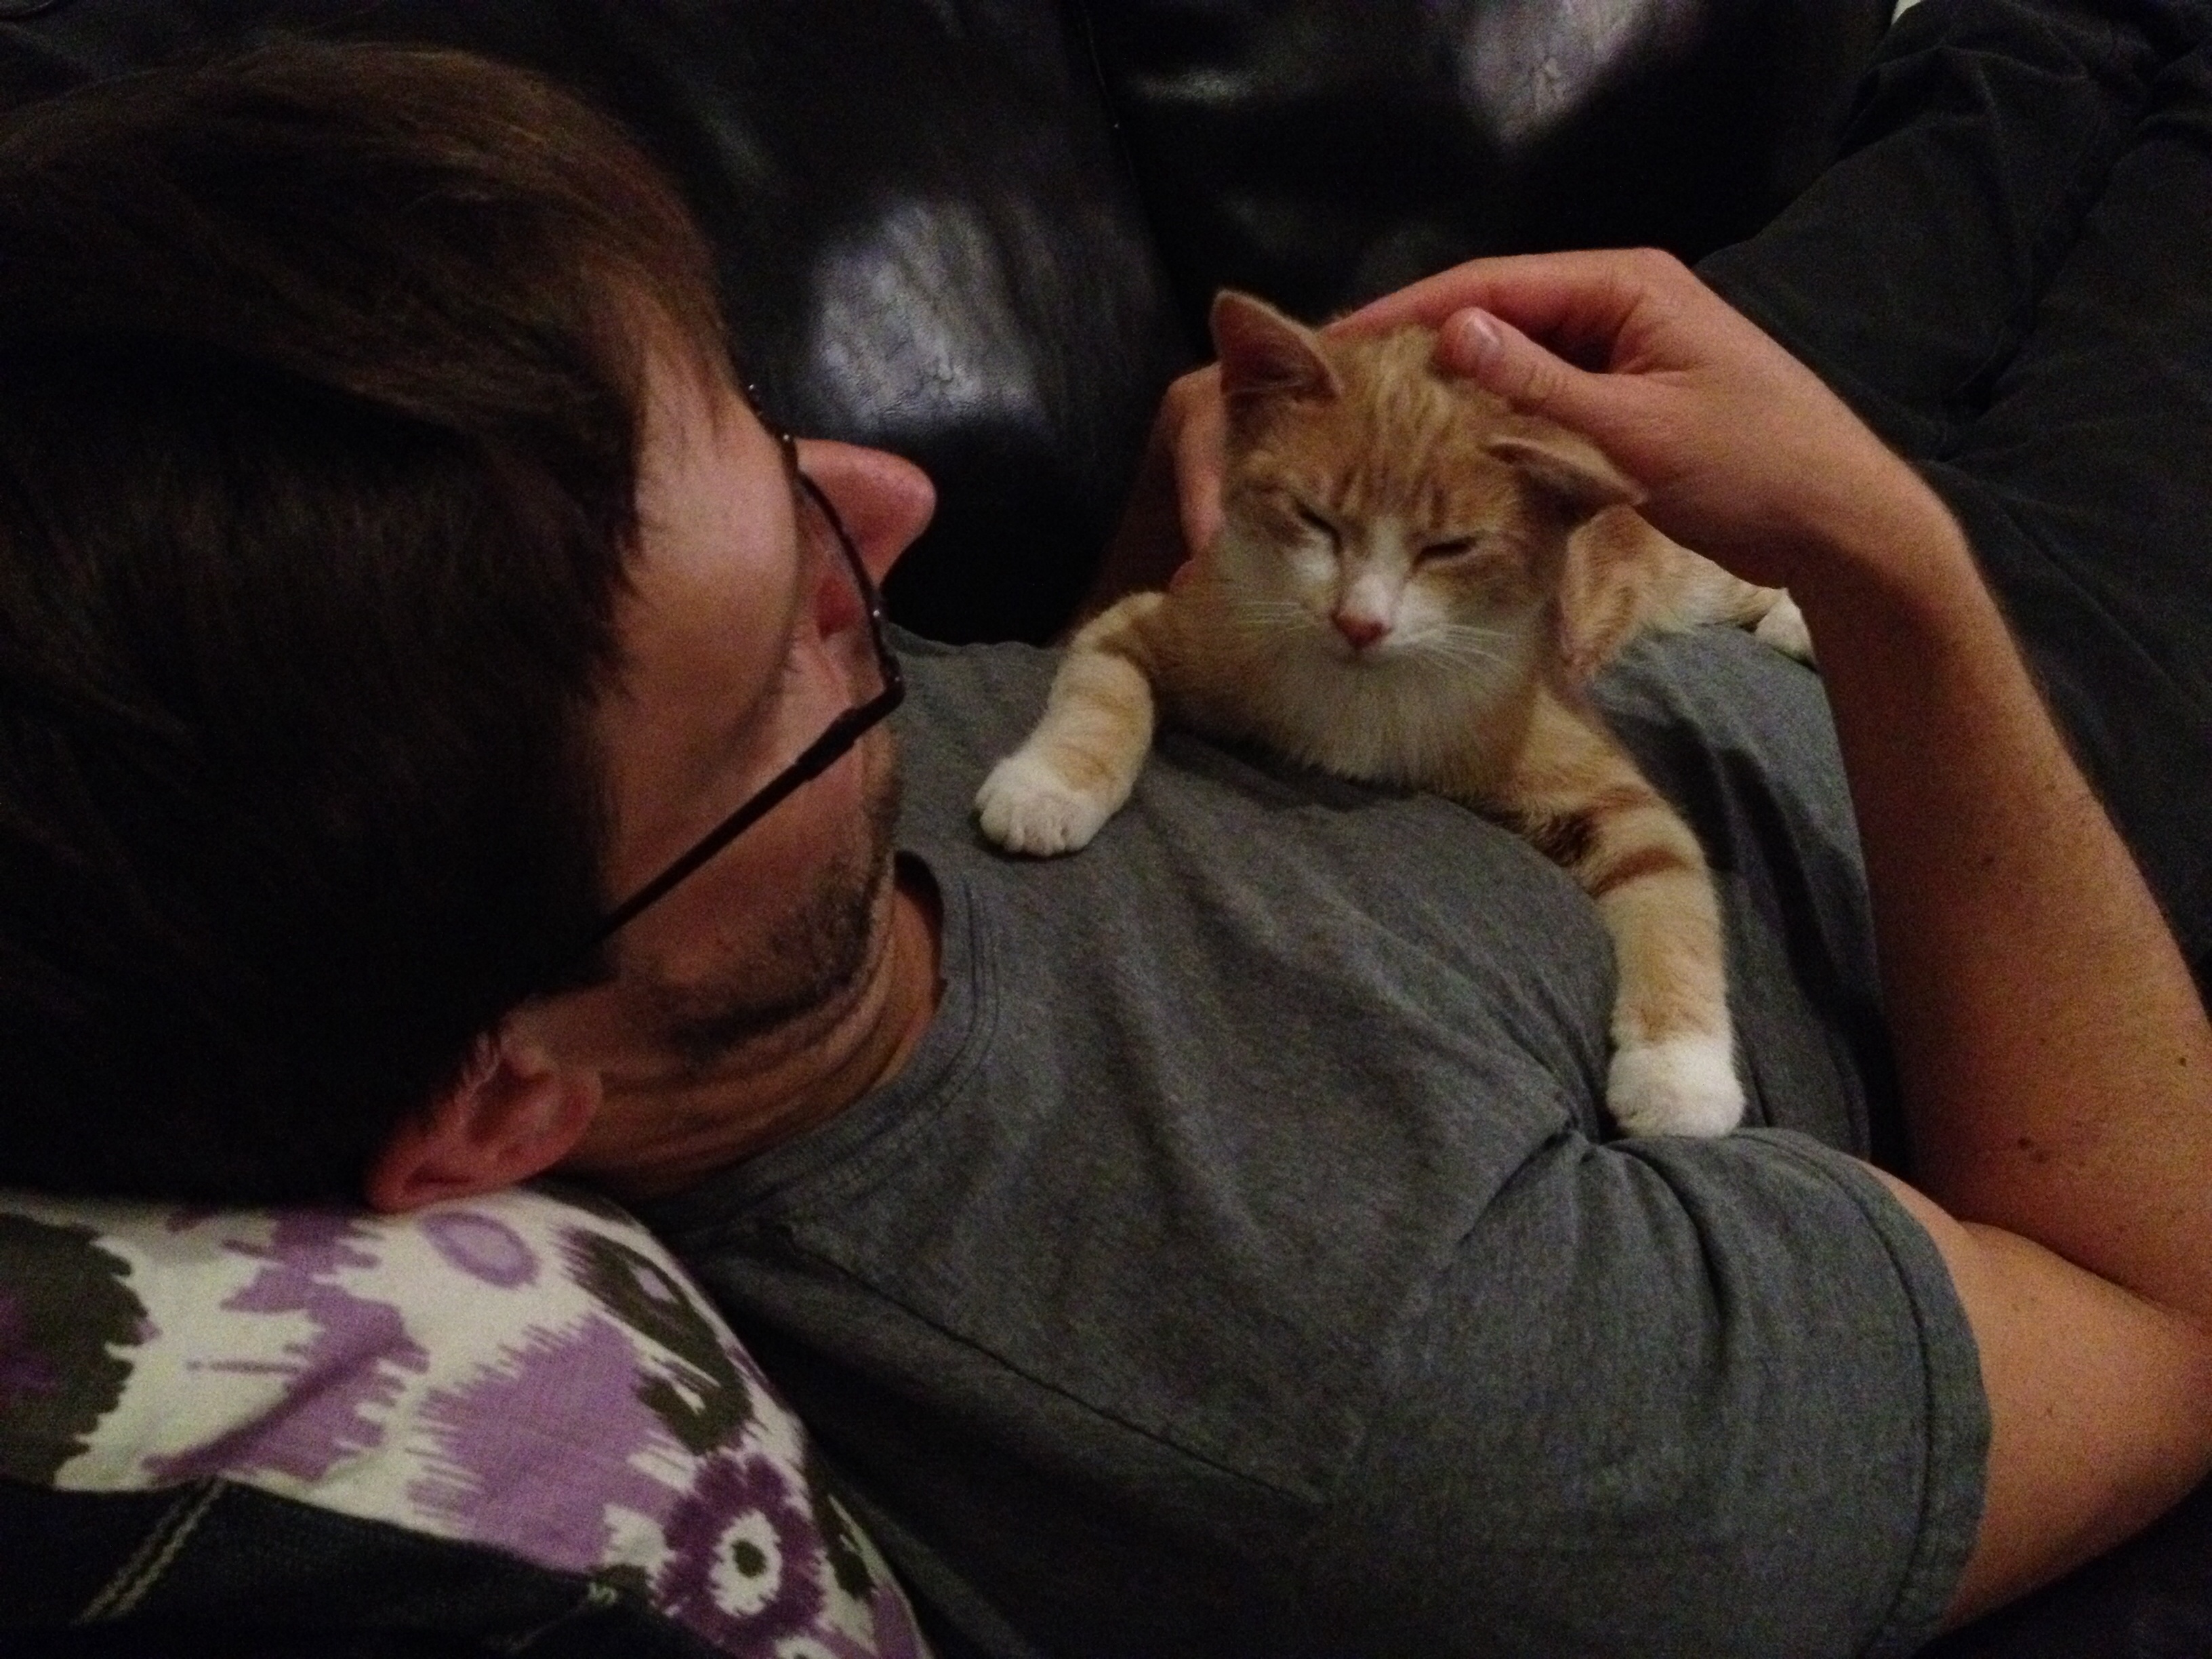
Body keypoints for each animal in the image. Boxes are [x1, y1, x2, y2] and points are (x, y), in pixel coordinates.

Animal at [975, 290, 1813, 1137]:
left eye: (1451, 548)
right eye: (1313, 518)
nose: (1360, 623)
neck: (1364, 693)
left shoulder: (1595, 769)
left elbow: (1670, 881)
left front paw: (1680, 1074)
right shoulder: (1163, 619)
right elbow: (1103, 694)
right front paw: (1047, 789)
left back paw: (1794, 622)